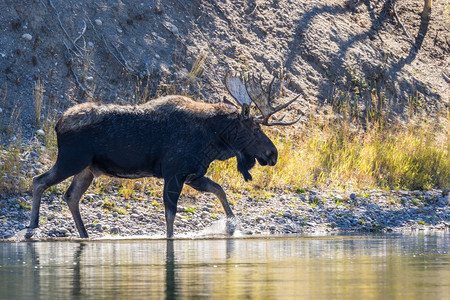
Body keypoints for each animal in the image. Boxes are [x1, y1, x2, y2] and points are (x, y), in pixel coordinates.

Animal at [24, 71, 298, 238]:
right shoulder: (175, 172)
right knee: (39, 181)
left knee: (70, 196)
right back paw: (31, 227)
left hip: (87, 170)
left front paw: (232, 226)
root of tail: (57, 123)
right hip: (70, 160)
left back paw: (84, 234)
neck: (213, 140)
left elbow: (219, 189)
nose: (273, 154)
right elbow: (170, 214)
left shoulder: (193, 174)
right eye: (256, 128)